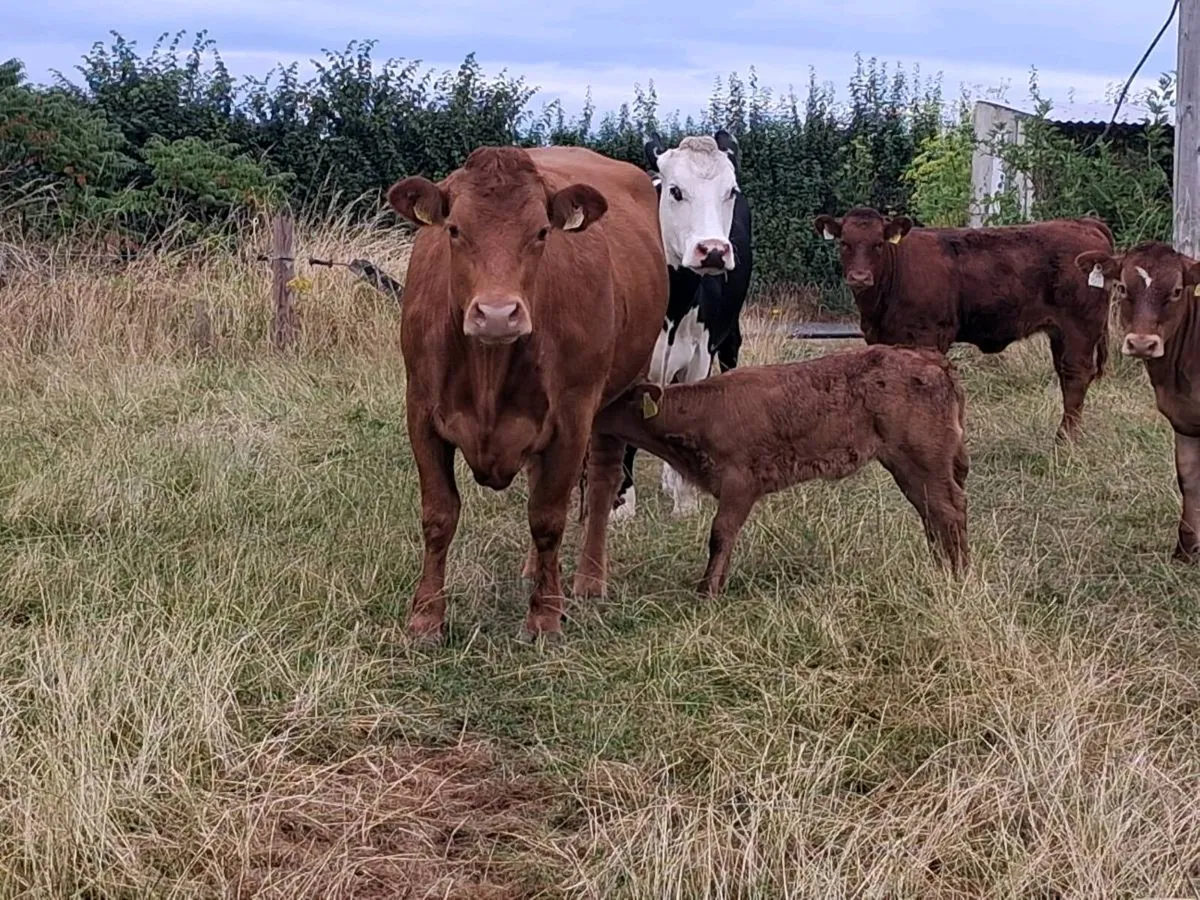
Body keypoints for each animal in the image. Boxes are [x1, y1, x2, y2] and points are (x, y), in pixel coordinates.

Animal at [387, 145, 668, 643]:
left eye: (541, 232)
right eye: (454, 229)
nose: (498, 314)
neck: (488, 371)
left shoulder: (572, 419)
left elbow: (548, 517)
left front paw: (545, 616)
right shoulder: (420, 411)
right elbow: (439, 515)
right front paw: (426, 617)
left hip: (620, 395)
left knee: (601, 483)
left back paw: (588, 578)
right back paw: (533, 570)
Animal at [594, 344, 970, 596]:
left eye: (611, 396)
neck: (703, 412)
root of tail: (932, 360)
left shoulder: (740, 481)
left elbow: (720, 534)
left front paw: (707, 591)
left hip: (921, 458)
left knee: (948, 511)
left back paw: (957, 575)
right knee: (934, 512)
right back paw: (943, 568)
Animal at [612, 130, 754, 521]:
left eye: (730, 191)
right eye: (675, 190)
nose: (714, 250)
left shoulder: (699, 355)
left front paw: (686, 500)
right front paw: (620, 503)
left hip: (729, 337)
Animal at [813, 208, 1114, 440]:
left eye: (878, 243)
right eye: (844, 243)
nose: (860, 277)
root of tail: (1084, 223)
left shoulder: (927, 336)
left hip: (1080, 328)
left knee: (1075, 376)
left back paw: (1065, 439)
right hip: (1060, 332)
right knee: (1066, 374)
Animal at [1074, 241, 1200, 561]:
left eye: (1176, 291)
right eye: (1122, 287)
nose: (1142, 343)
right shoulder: (1184, 421)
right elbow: (1189, 479)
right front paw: (1185, 551)